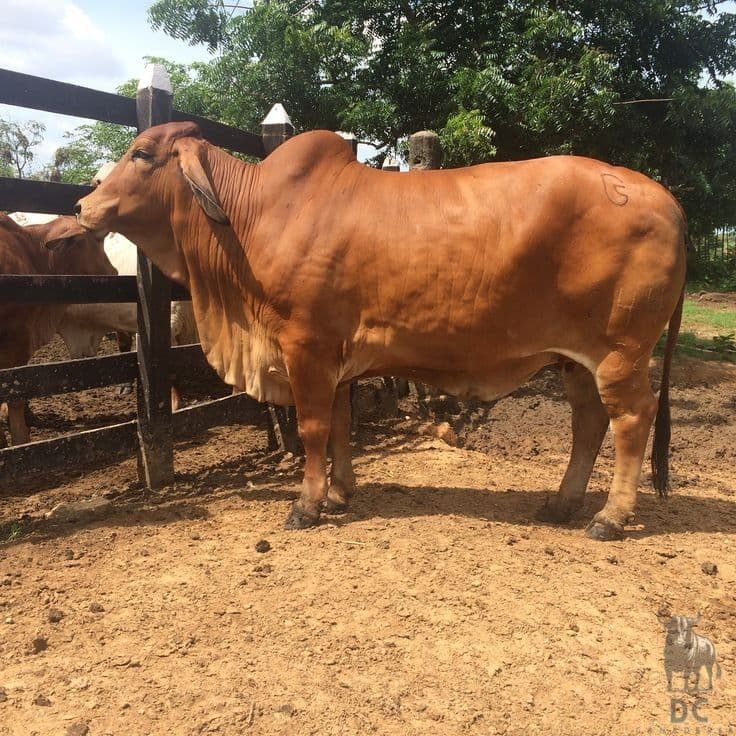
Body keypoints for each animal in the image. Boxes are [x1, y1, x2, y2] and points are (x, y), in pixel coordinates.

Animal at [75, 121, 687, 540]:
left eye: (142, 153)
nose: (83, 203)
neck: (251, 219)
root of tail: (666, 199)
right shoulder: (337, 360)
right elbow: (342, 426)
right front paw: (340, 492)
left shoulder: (306, 346)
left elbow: (315, 428)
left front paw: (306, 504)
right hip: (575, 360)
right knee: (589, 423)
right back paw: (563, 503)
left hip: (620, 353)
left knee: (631, 420)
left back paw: (610, 517)